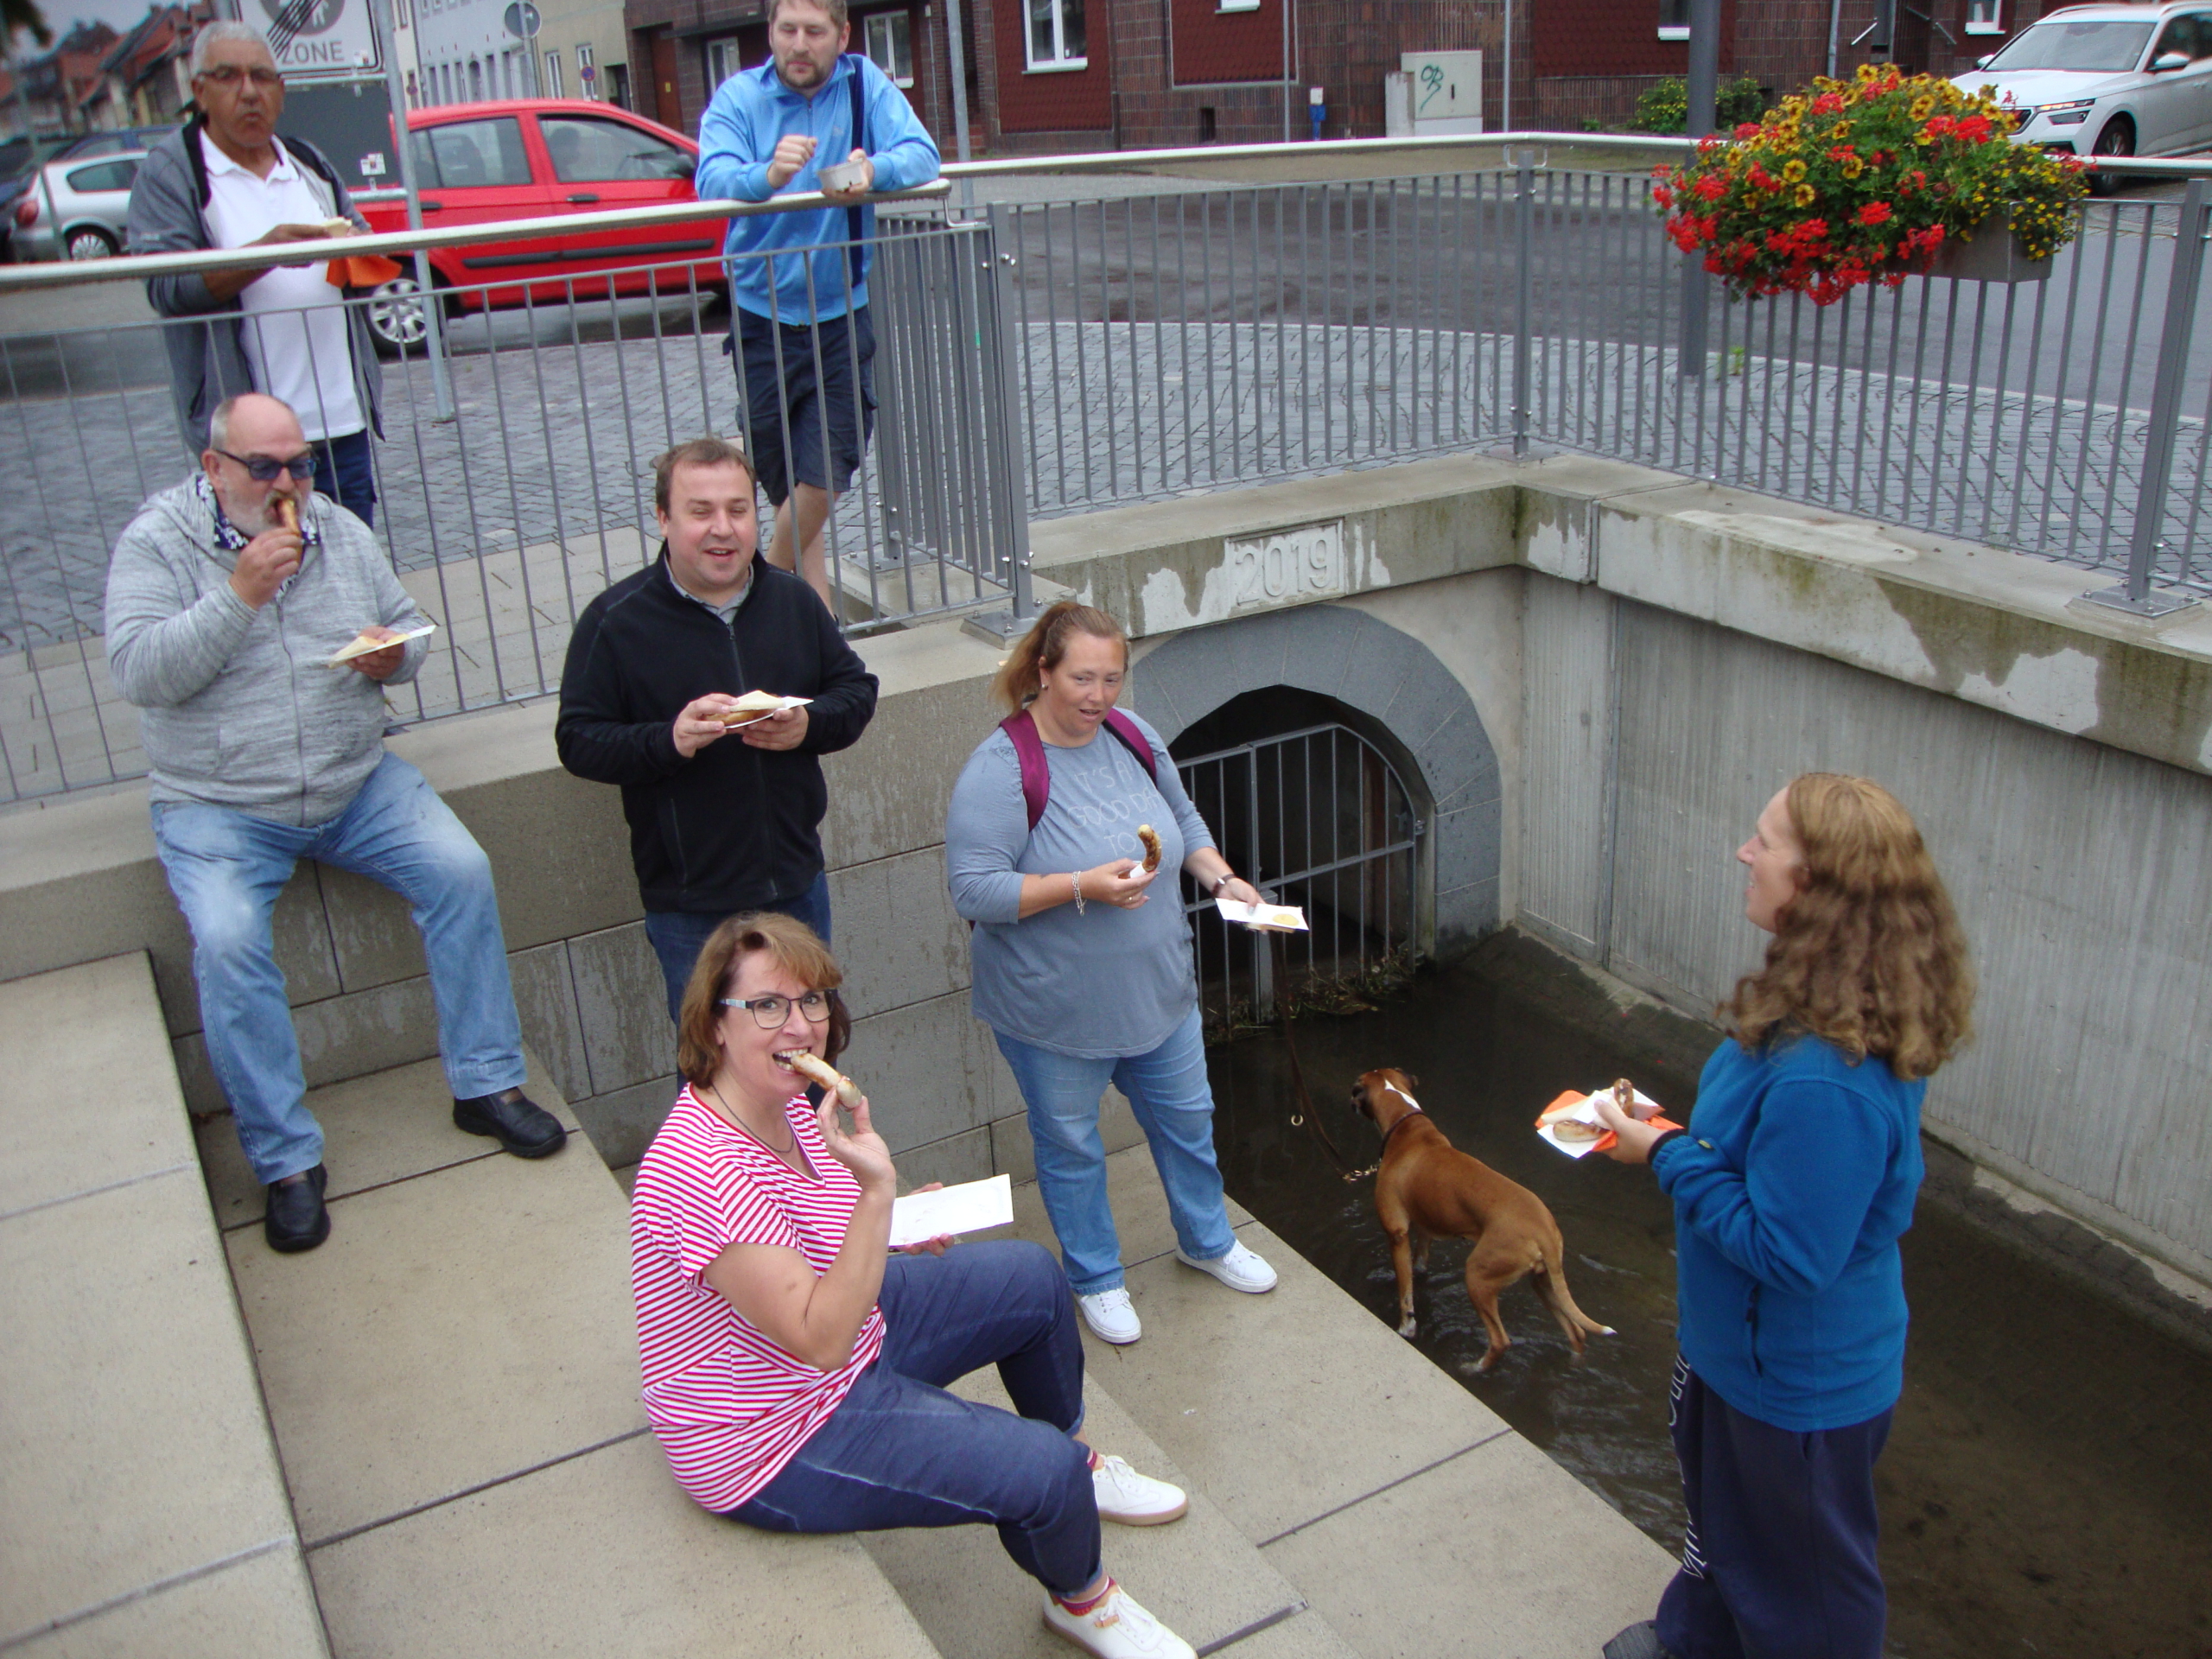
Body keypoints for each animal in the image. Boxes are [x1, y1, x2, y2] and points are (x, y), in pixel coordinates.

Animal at [1344, 1071, 1610, 1371]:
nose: (1351, 1102)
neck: (1406, 1124)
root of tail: (1543, 1230)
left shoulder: (1397, 1234)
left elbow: (1405, 1295)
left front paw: (1406, 1328)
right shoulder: (1425, 1229)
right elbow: (1418, 1266)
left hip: (1478, 1278)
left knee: (1500, 1341)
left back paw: (1473, 1367)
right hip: (1544, 1284)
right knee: (1576, 1332)